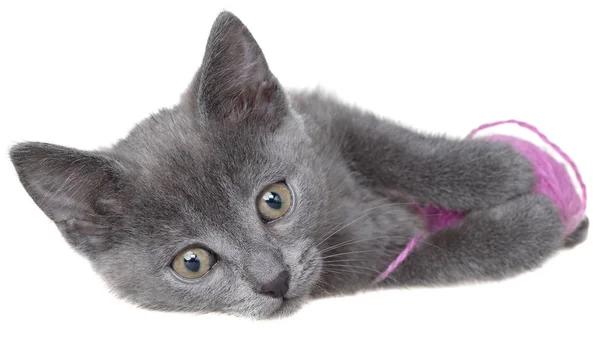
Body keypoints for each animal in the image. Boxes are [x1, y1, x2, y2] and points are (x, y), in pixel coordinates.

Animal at [9, 12, 588, 318]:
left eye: (275, 200)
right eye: (192, 263)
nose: (273, 281)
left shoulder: (322, 112)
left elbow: (392, 145)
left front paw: (496, 168)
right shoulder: (368, 271)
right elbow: (438, 255)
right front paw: (528, 224)